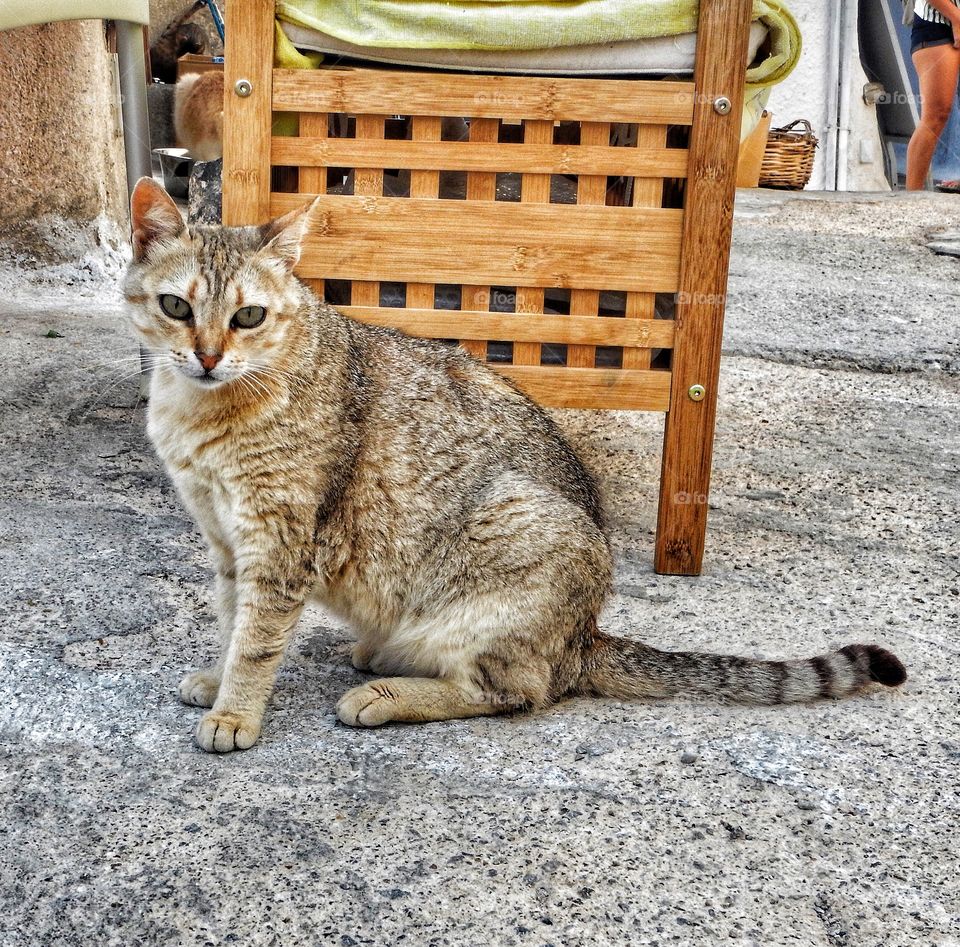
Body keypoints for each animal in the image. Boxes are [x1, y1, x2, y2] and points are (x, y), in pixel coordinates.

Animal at [124, 180, 904, 756]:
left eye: (249, 317)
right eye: (176, 306)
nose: (208, 356)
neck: (202, 413)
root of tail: (584, 636)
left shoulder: (279, 543)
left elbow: (256, 640)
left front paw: (236, 712)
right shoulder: (227, 540)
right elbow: (232, 619)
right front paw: (218, 676)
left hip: (514, 539)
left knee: (516, 690)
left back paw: (386, 695)